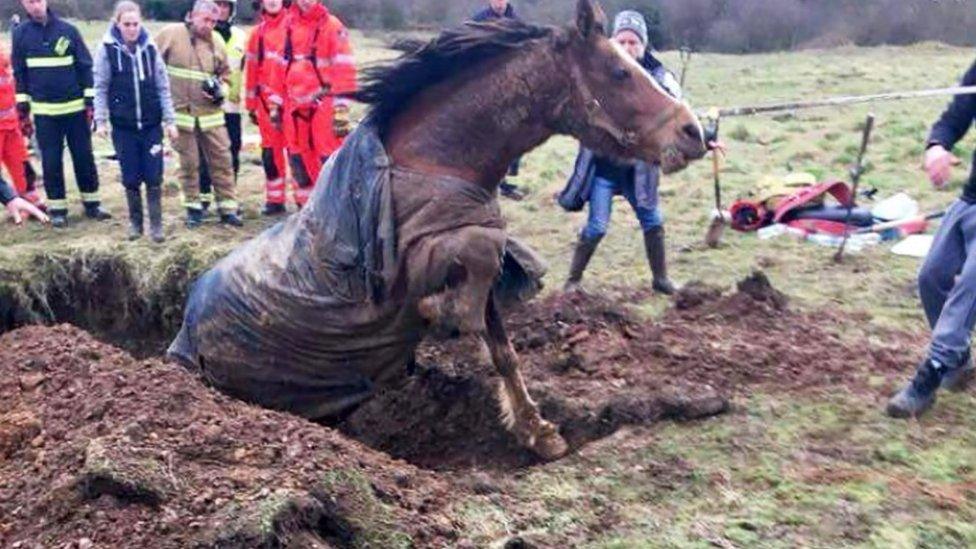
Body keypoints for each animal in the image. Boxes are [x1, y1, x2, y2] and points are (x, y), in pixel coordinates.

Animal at [170, 0, 708, 460]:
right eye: (620, 71)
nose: (694, 133)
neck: (436, 163)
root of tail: (185, 336)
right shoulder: (421, 256)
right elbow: (479, 261)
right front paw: (437, 312)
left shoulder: (481, 269)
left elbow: (503, 348)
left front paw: (539, 433)